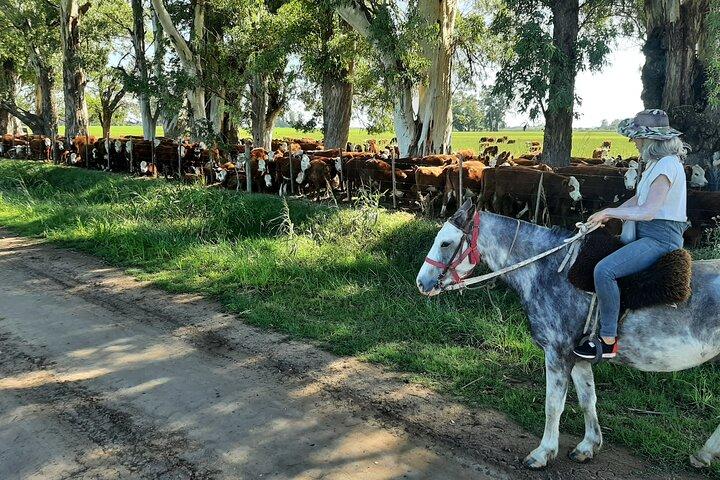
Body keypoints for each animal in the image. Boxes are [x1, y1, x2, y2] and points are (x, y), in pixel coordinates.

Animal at [416, 200, 720, 469]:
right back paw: (704, 455)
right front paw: (588, 446)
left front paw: (542, 453)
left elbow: (553, 405)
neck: (550, 270)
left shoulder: (557, 352)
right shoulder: (579, 355)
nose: (422, 283)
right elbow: (587, 399)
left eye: (446, 243)